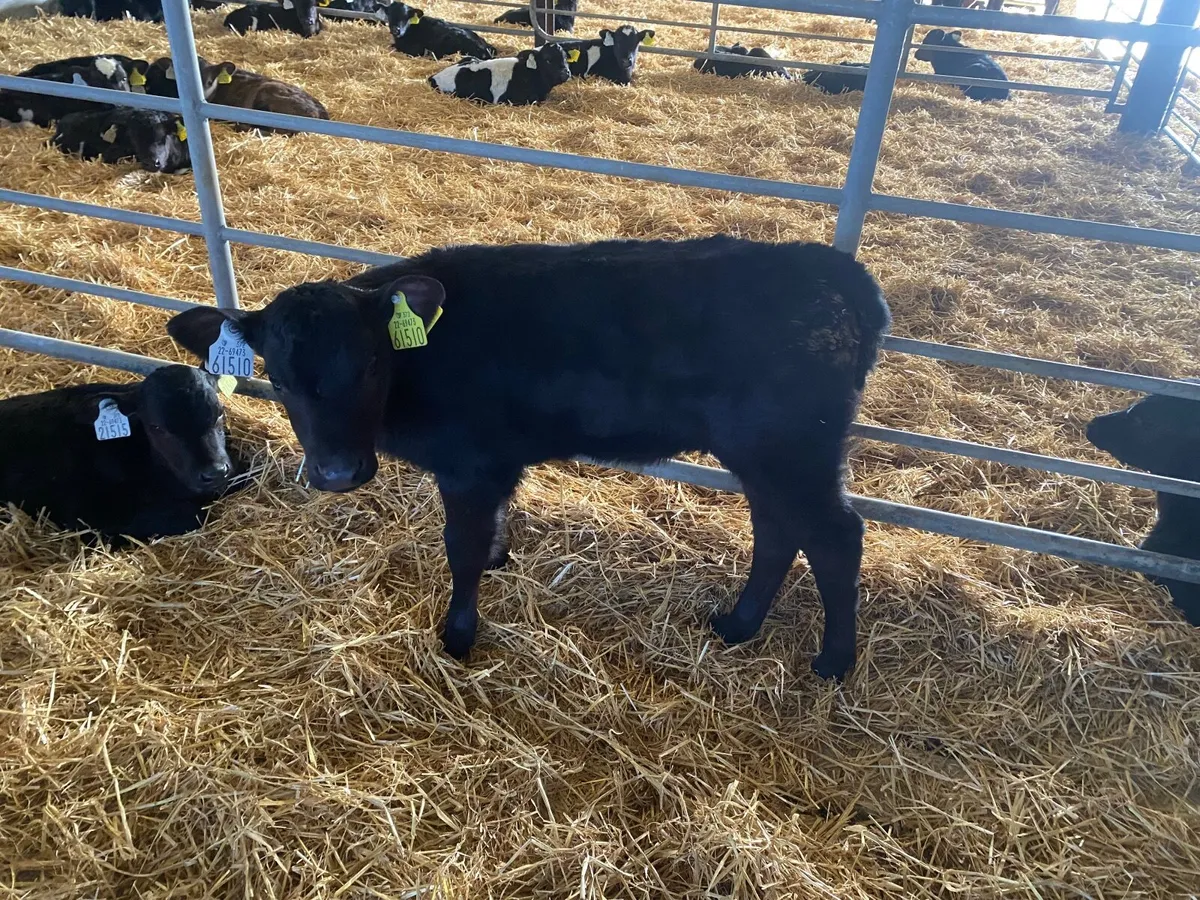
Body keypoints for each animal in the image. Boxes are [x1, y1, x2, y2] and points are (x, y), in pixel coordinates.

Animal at [166, 235, 891, 681]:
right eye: (279, 377)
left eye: (371, 362)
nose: (339, 473)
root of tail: (834, 271)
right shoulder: (497, 463)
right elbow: (490, 531)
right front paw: (497, 559)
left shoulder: (469, 464)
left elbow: (460, 548)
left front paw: (457, 635)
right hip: (766, 454)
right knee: (777, 531)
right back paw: (737, 625)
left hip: (790, 447)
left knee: (835, 536)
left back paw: (834, 661)